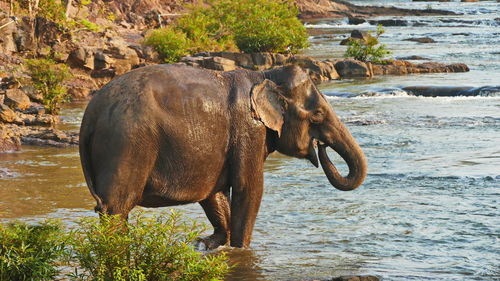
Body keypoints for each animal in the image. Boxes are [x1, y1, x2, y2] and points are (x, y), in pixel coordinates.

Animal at [79, 63, 368, 247]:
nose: (321, 146)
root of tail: (90, 114)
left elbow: (213, 193)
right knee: (116, 210)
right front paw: (241, 249)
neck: (266, 75)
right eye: (317, 115)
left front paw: (210, 243)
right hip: (126, 144)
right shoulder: (250, 130)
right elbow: (249, 189)